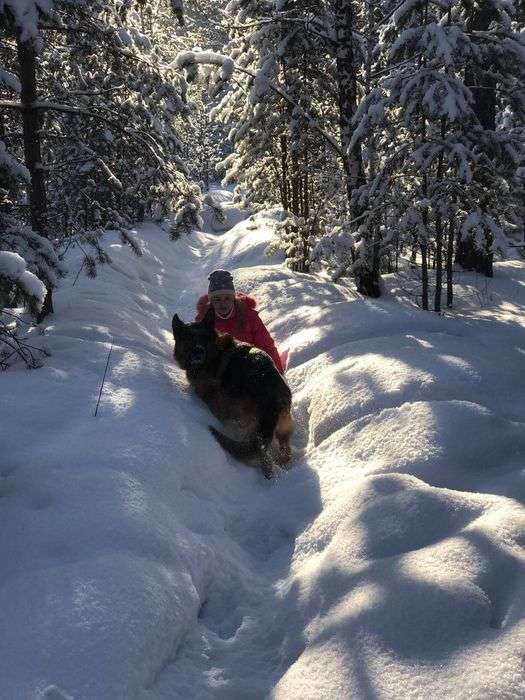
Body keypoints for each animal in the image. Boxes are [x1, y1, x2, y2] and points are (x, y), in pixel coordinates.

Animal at [173, 308, 292, 478]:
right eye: (188, 338)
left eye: (204, 338)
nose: (198, 351)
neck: (214, 353)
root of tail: (274, 400)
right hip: (281, 430)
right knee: (283, 451)